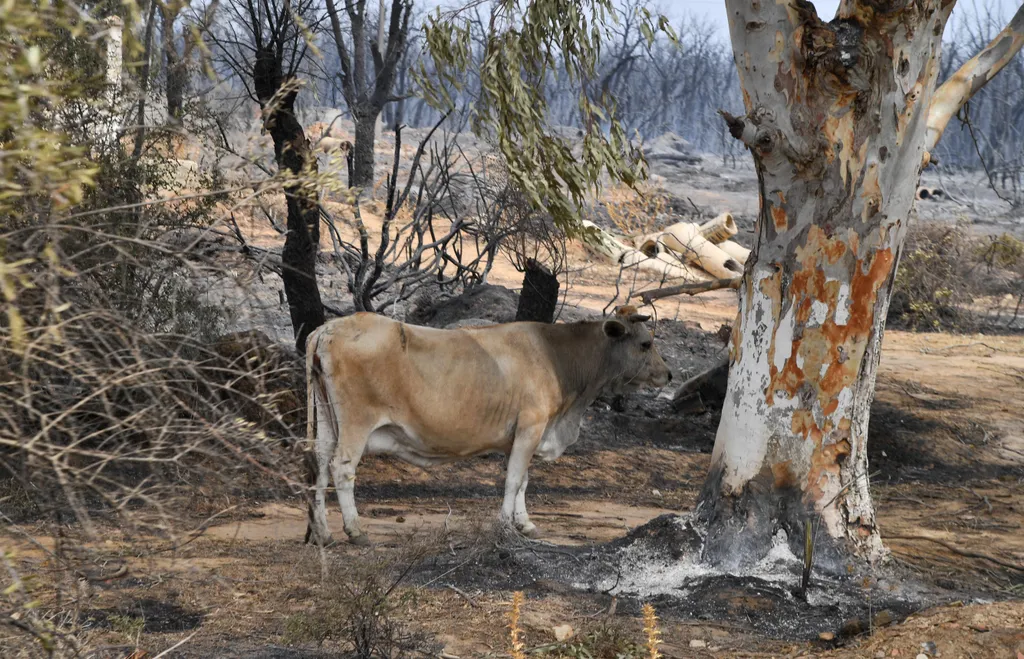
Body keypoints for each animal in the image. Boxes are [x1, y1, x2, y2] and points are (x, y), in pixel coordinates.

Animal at [301, 302, 671, 544]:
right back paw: (355, 530)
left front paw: (525, 524)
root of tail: (329, 327)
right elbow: (513, 479)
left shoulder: (528, 433)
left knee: (320, 462)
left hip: (327, 419)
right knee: (342, 467)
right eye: (646, 343)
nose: (668, 374)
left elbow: (524, 481)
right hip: (356, 422)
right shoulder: (531, 426)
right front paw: (506, 525)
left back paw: (322, 532)